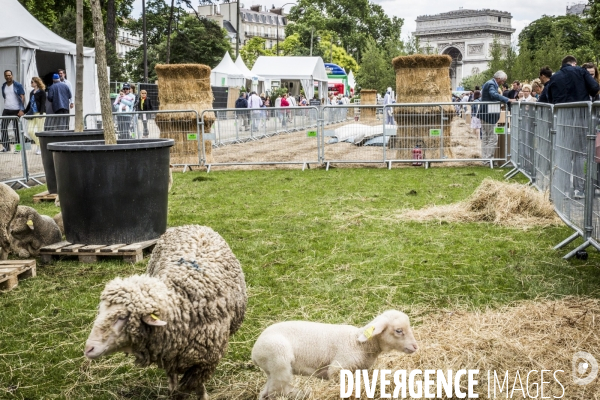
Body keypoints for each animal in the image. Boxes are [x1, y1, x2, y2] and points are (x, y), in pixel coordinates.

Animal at [83, 225, 247, 400]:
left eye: (122, 317)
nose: (88, 349)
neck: (181, 302)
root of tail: (191, 225)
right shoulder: (170, 355)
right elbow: (175, 381)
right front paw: (173, 390)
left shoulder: (205, 363)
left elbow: (191, 387)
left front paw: (201, 395)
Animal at [252, 310, 418, 400]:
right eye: (398, 330)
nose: (415, 346)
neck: (359, 343)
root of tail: (254, 352)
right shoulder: (338, 368)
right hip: (280, 363)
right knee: (279, 391)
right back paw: (305, 393)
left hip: (272, 371)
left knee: (267, 392)